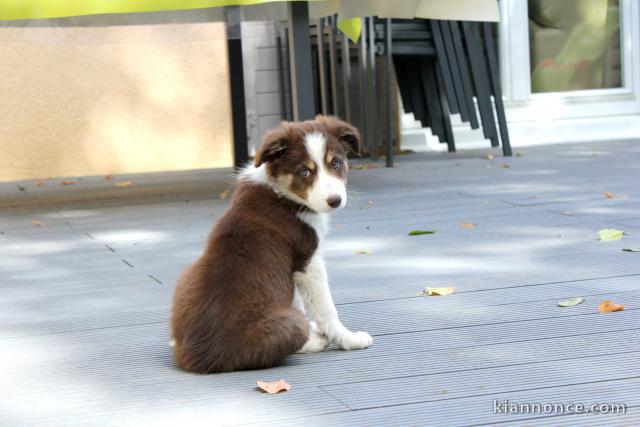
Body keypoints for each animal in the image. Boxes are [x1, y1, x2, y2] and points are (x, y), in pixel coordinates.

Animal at [170, 115, 372, 372]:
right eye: (304, 171)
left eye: (335, 163)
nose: (335, 201)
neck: (282, 193)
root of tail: (197, 358)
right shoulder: (308, 263)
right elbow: (326, 309)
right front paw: (349, 339)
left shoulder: (292, 271)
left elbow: (296, 300)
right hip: (289, 326)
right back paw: (313, 341)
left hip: (184, 277)